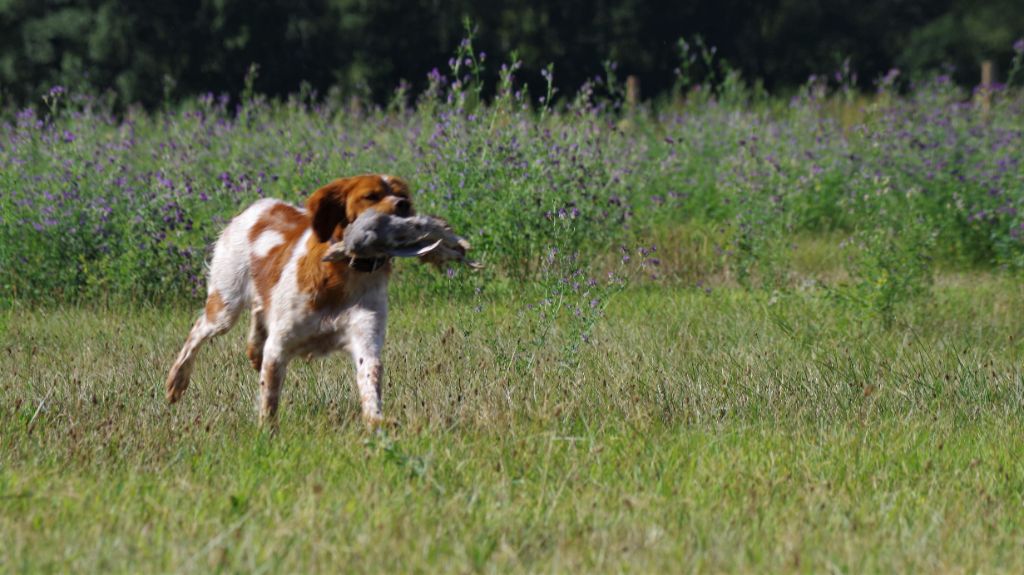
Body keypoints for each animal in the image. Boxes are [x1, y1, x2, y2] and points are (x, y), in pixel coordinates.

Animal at [165, 174, 413, 425]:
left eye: (403, 194)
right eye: (370, 196)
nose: (403, 204)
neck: (345, 274)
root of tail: (259, 205)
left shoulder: (366, 338)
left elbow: (371, 380)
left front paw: (376, 421)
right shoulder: (278, 346)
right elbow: (269, 398)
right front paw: (266, 431)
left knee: (258, 310)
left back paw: (254, 350)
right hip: (225, 306)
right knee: (198, 331)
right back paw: (177, 381)